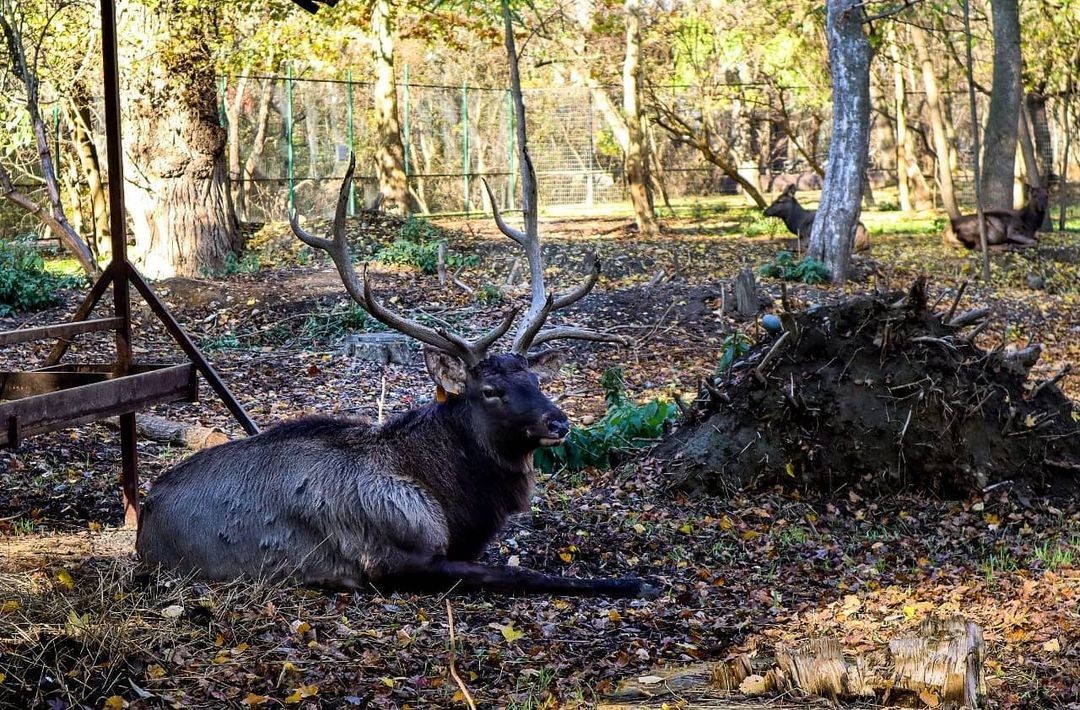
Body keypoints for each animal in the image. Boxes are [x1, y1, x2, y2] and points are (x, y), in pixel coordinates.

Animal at [135, 156, 656, 596]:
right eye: (490, 390)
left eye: (536, 382)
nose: (559, 422)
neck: (454, 504)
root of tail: (143, 518)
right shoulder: (391, 556)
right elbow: (519, 575)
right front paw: (632, 583)